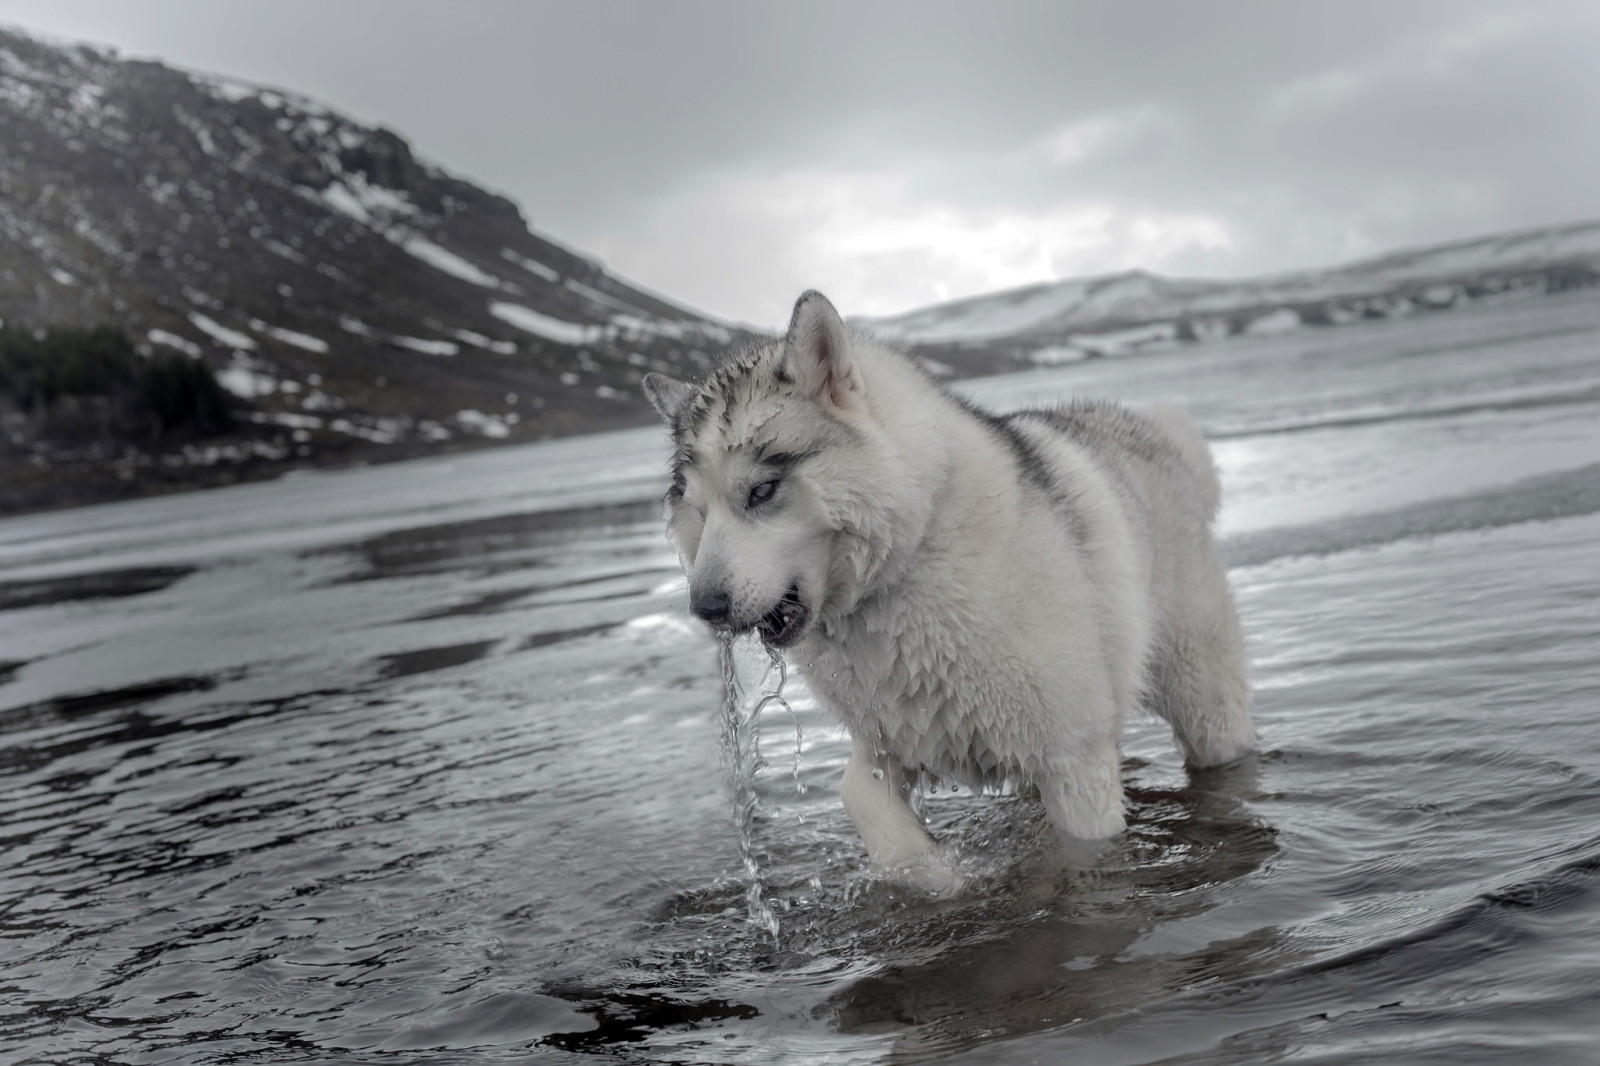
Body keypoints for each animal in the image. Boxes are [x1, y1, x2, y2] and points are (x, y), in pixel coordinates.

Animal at [643, 291, 1254, 889]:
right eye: (697, 511)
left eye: (763, 490)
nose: (706, 608)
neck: (910, 556)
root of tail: (1154, 431)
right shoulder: (894, 737)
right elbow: (856, 794)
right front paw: (933, 873)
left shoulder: (1073, 760)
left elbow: (1083, 853)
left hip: (1205, 707)